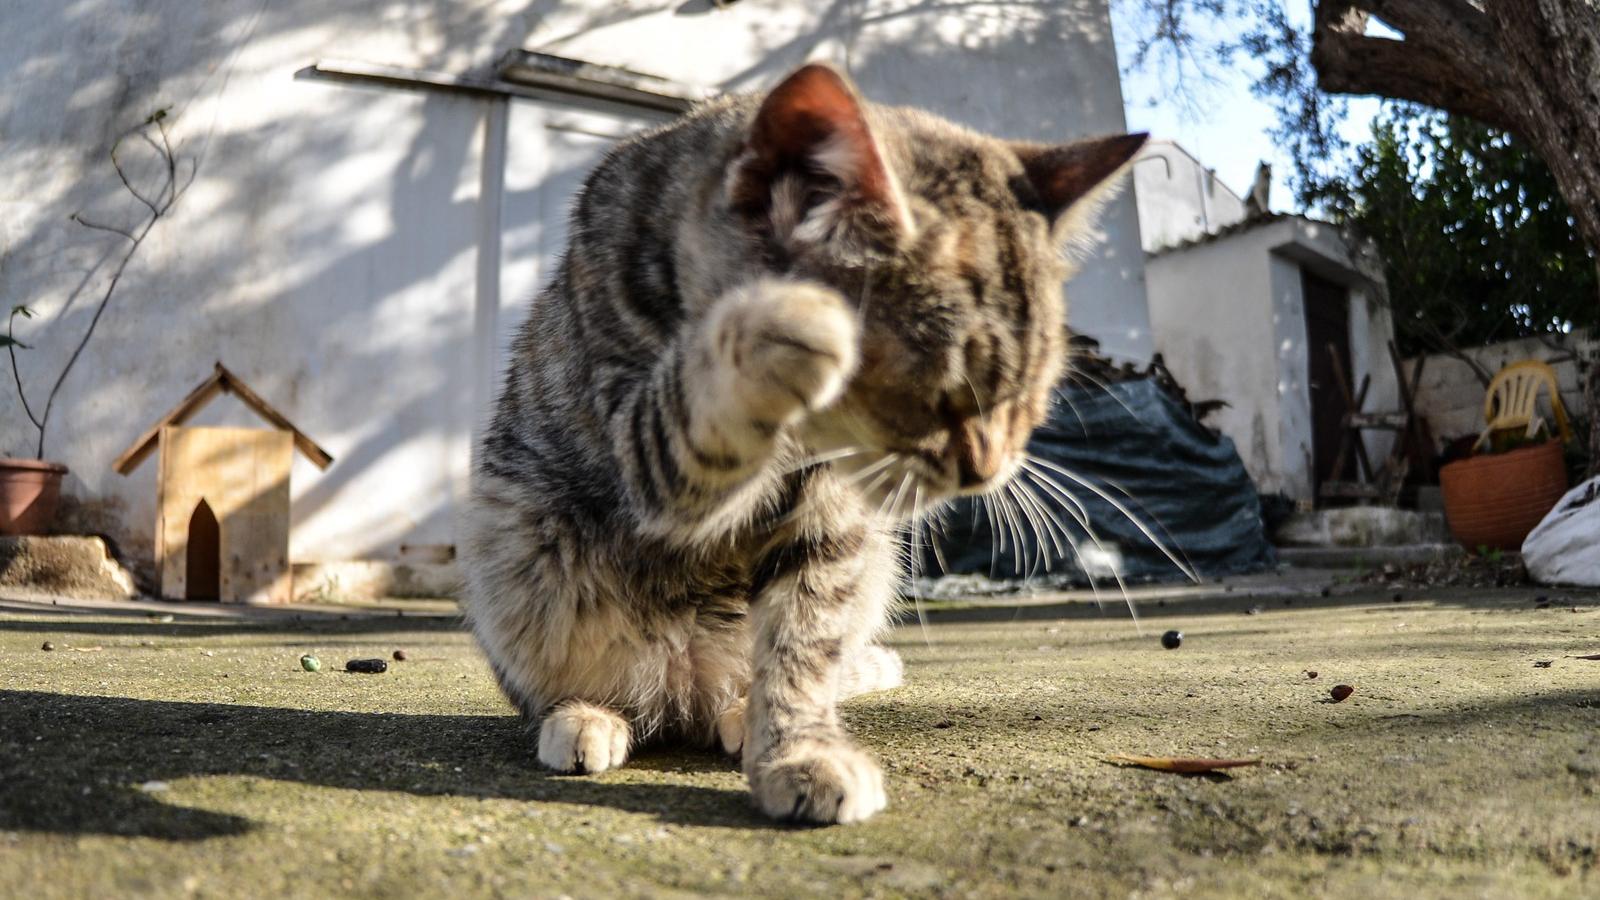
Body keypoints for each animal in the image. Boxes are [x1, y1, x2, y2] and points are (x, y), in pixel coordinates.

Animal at [464, 63, 1152, 819]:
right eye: (943, 392)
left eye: (1031, 394)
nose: (986, 469)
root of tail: (682, 687)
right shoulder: (631, 448)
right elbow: (691, 415)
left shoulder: (833, 525)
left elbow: (802, 647)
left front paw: (797, 751)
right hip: (512, 548)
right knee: (568, 688)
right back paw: (586, 714)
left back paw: (740, 709)